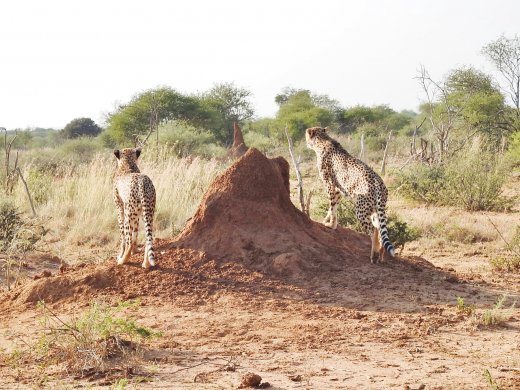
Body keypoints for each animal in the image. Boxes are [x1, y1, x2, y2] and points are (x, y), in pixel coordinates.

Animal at [304, 126, 394, 264]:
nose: (306, 142)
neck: (323, 140)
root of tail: (379, 182)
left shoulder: (331, 186)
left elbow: (332, 207)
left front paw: (331, 225)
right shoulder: (339, 190)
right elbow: (333, 208)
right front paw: (327, 221)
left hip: (361, 210)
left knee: (373, 230)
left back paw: (373, 255)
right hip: (375, 209)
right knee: (380, 228)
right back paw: (382, 255)